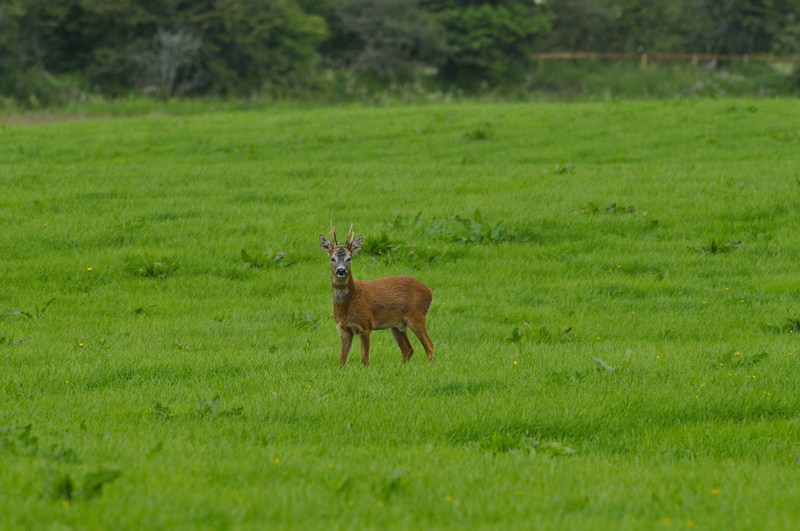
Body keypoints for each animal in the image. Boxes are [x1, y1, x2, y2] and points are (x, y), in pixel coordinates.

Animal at [320, 223, 434, 366]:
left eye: (349, 258)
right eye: (332, 259)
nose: (341, 270)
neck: (349, 302)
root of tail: (429, 293)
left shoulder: (365, 324)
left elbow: (365, 359)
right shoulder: (343, 329)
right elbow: (341, 360)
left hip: (417, 315)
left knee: (429, 346)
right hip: (397, 325)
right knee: (408, 349)